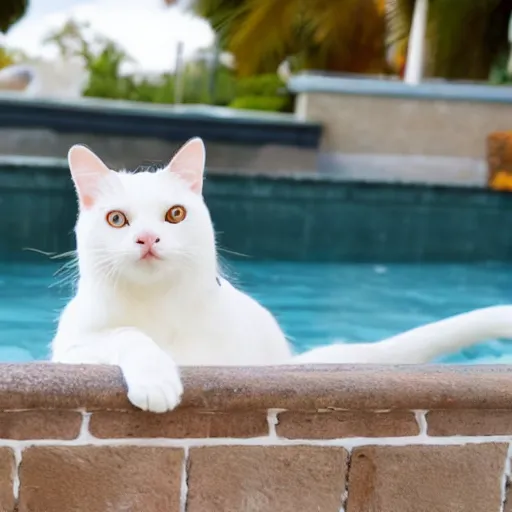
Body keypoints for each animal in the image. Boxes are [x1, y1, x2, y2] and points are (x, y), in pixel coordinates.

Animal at [51, 138, 512, 414]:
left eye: (175, 214)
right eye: (117, 219)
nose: (147, 238)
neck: (157, 305)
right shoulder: (70, 351)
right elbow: (126, 335)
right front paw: (155, 376)